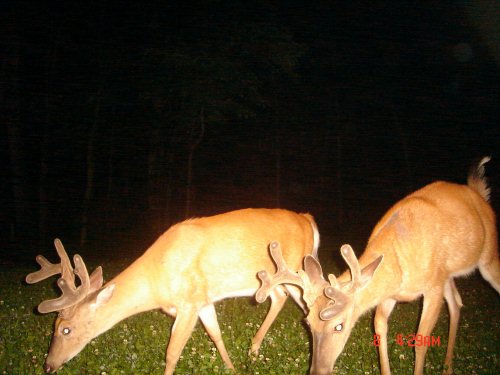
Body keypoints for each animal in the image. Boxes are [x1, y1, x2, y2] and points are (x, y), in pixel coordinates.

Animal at [26, 209, 320, 375]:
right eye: (54, 325)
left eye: (66, 329)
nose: (48, 366)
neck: (155, 283)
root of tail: (309, 220)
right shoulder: (203, 300)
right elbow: (216, 336)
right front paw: (233, 369)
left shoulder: (188, 303)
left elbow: (171, 353)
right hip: (279, 279)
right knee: (284, 298)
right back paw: (254, 350)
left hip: (295, 267)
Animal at [256, 157, 498, 374]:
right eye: (308, 323)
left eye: (339, 325)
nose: (318, 371)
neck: (399, 265)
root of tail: (477, 193)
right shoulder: (389, 294)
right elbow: (379, 329)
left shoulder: (433, 286)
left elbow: (420, 340)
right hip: (448, 274)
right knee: (456, 303)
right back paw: (448, 367)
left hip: (486, 259)